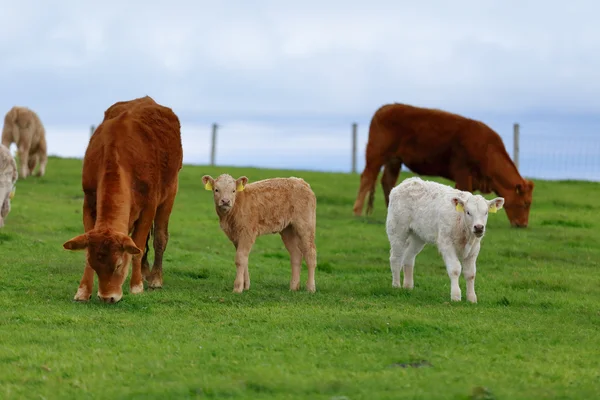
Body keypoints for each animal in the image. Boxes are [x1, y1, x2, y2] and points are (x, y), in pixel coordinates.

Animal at [61, 96, 183, 304]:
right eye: (94, 264)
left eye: (118, 265)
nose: (107, 297)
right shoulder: (89, 202)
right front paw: (83, 291)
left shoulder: (149, 206)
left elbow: (139, 246)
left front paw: (136, 286)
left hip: (169, 194)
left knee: (160, 237)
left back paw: (155, 278)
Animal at [352, 102, 536, 228]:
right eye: (526, 203)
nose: (523, 225)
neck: (486, 147)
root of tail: (385, 108)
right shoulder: (463, 173)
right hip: (376, 155)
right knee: (367, 177)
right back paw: (357, 212)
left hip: (394, 161)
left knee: (387, 182)